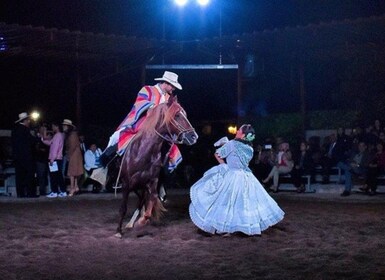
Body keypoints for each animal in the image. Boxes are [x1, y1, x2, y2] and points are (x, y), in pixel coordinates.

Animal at [114, 95, 198, 237]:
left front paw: (141, 222)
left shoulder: (152, 182)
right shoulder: (126, 184)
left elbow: (152, 201)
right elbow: (123, 208)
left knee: (142, 201)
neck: (143, 152)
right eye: (176, 115)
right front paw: (118, 231)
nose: (193, 137)